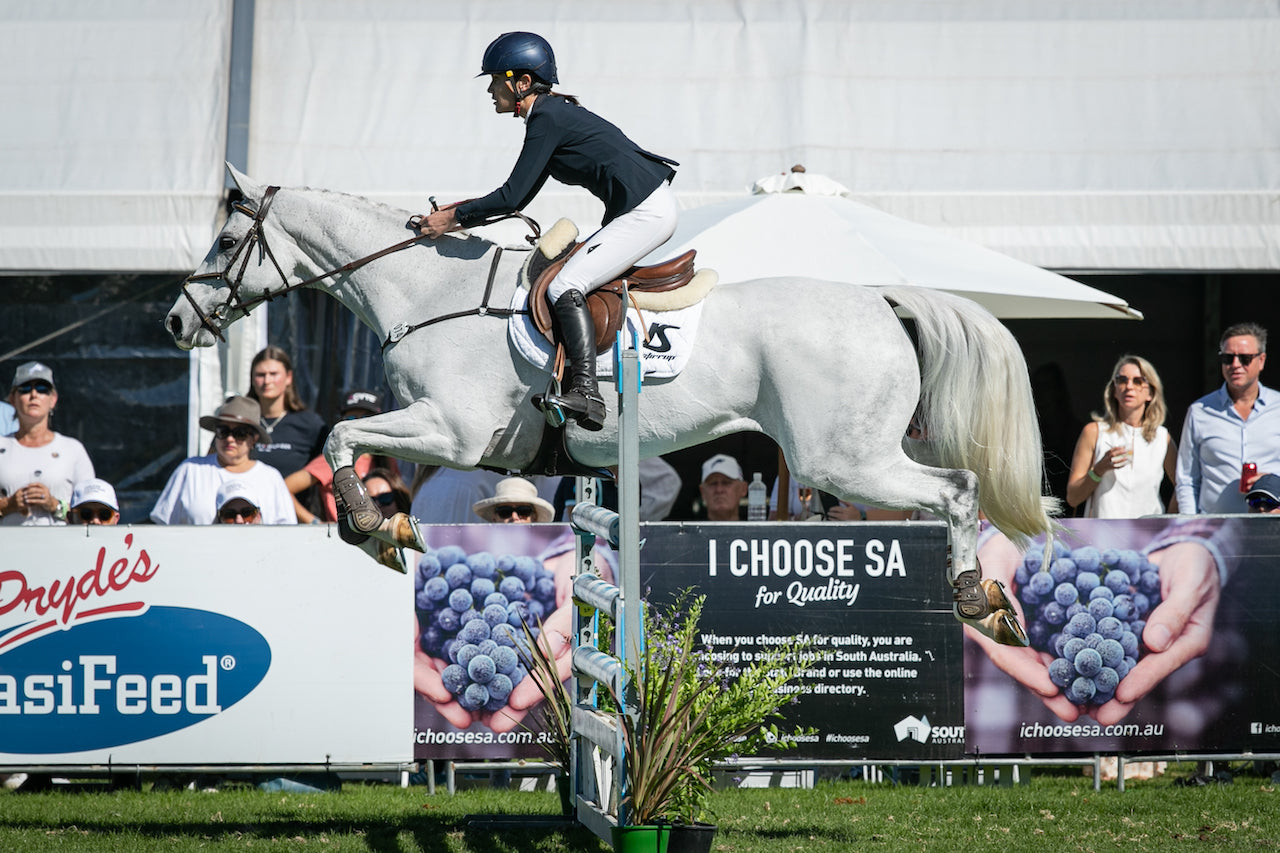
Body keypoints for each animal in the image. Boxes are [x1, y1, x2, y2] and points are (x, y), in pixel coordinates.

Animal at [165, 167, 1054, 645]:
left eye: (224, 244)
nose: (177, 321)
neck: (427, 290)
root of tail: (880, 300)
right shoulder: (440, 432)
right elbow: (351, 439)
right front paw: (383, 526)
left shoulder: (451, 433)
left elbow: (343, 435)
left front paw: (375, 527)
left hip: (843, 457)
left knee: (958, 490)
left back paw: (976, 601)